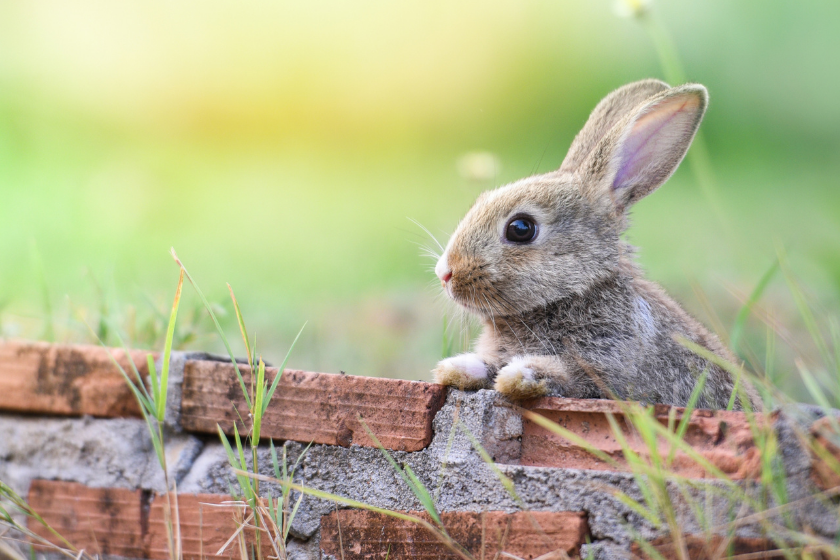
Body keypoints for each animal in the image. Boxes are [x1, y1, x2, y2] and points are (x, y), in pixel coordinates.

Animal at [432, 79, 758, 411]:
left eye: (521, 228)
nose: (444, 273)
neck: (576, 292)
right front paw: (456, 368)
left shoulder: (607, 366)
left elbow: (567, 375)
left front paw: (520, 375)